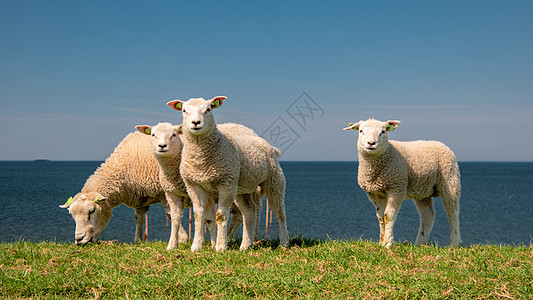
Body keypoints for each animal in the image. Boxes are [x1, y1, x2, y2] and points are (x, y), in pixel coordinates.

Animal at [57, 131, 187, 246]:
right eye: (71, 214)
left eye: (92, 211)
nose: (79, 239)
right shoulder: (141, 199)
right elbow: (138, 218)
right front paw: (137, 241)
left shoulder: (165, 193)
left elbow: (171, 214)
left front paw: (182, 239)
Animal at [135, 122, 264, 251]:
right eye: (153, 135)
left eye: (174, 135)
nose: (162, 146)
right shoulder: (171, 193)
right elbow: (175, 218)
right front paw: (172, 245)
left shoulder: (208, 194)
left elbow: (209, 218)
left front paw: (213, 243)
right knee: (243, 213)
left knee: (255, 211)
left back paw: (252, 240)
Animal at [168, 95, 288, 251]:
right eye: (184, 110)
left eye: (208, 109)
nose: (196, 123)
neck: (201, 158)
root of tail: (269, 145)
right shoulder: (193, 184)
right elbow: (198, 215)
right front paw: (196, 246)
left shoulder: (226, 182)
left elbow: (220, 216)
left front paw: (220, 247)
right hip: (242, 188)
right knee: (249, 212)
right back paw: (245, 246)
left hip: (274, 180)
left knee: (279, 212)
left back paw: (284, 243)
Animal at [342, 118, 460, 247]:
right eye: (361, 131)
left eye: (383, 132)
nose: (371, 143)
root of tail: (441, 144)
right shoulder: (375, 193)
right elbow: (380, 217)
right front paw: (381, 242)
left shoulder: (396, 187)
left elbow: (388, 215)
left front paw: (388, 243)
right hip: (423, 190)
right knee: (428, 215)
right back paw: (419, 243)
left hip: (450, 181)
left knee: (453, 213)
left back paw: (455, 243)